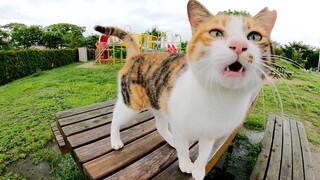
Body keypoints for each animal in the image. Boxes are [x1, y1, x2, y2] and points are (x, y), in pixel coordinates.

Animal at [94, 0, 276, 179]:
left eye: (254, 36)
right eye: (216, 33)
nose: (238, 45)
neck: (220, 97)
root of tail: (136, 56)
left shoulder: (210, 133)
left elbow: (204, 153)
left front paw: (198, 170)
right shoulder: (179, 125)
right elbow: (183, 149)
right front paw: (186, 164)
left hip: (159, 100)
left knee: (160, 125)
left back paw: (171, 140)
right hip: (132, 102)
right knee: (116, 118)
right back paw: (115, 141)